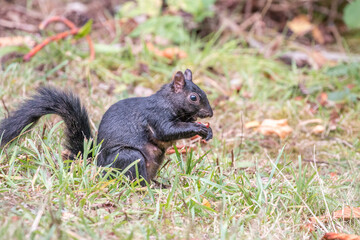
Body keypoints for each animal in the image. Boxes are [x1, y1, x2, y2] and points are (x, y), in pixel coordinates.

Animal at [0, 69, 212, 186]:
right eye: (193, 97)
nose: (210, 113)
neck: (168, 101)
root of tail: (97, 165)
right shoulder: (156, 116)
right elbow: (167, 131)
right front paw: (198, 128)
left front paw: (206, 131)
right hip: (129, 157)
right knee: (135, 181)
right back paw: (151, 188)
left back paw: (159, 184)